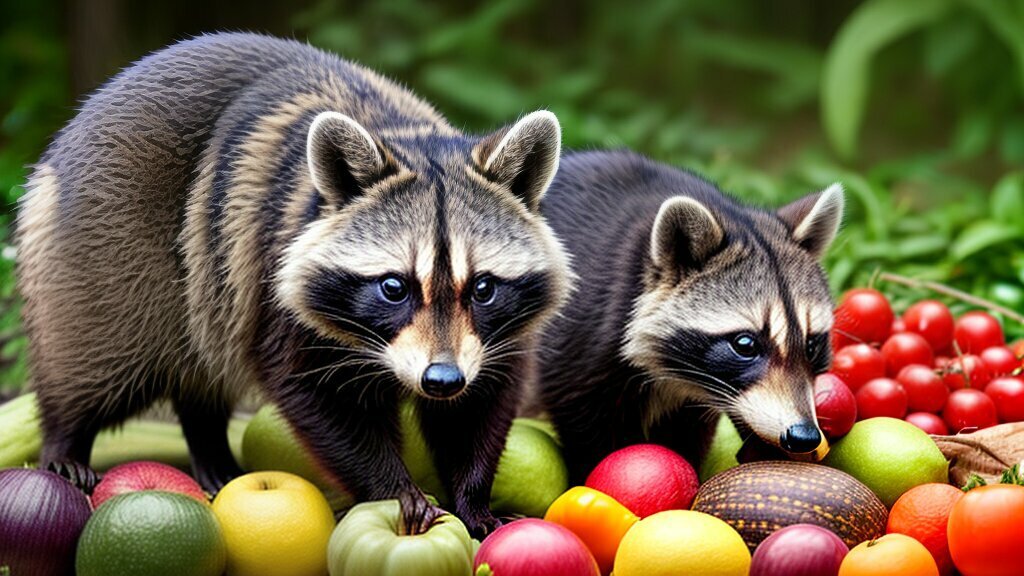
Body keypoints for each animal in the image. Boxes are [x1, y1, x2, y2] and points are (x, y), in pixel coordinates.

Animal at [17, 32, 571, 535]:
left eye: (482, 288)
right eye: (394, 287)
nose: (442, 380)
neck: (404, 135)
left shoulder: (493, 339)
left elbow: (479, 407)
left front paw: (473, 497)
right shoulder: (273, 278)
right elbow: (318, 396)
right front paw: (393, 488)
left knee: (202, 368)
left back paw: (207, 442)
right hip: (109, 247)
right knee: (97, 354)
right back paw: (66, 434)